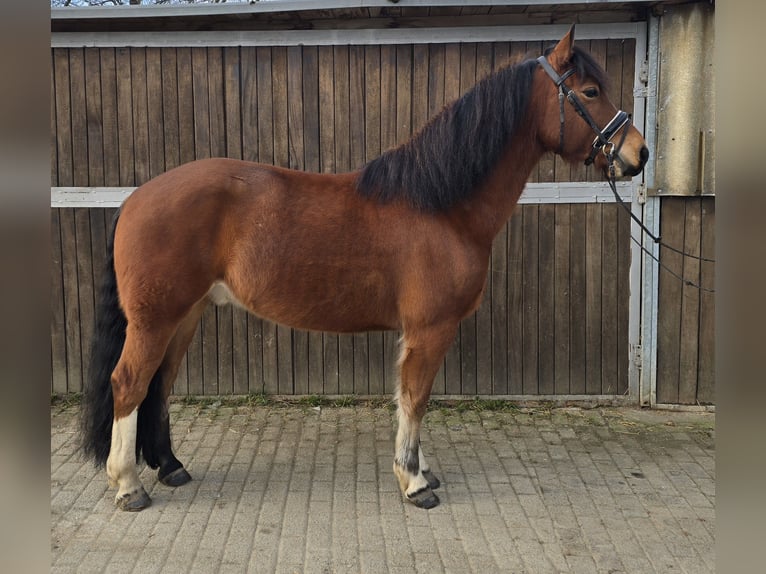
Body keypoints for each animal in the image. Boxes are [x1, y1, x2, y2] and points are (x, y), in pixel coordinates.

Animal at [82, 27, 648, 512]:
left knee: (160, 385)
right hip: (156, 320)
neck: (441, 205)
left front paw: (422, 468)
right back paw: (128, 486)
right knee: (129, 383)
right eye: (591, 90)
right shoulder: (430, 329)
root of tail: (136, 200)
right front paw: (413, 481)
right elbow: (415, 399)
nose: (638, 153)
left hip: (184, 316)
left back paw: (170, 467)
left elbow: (411, 400)